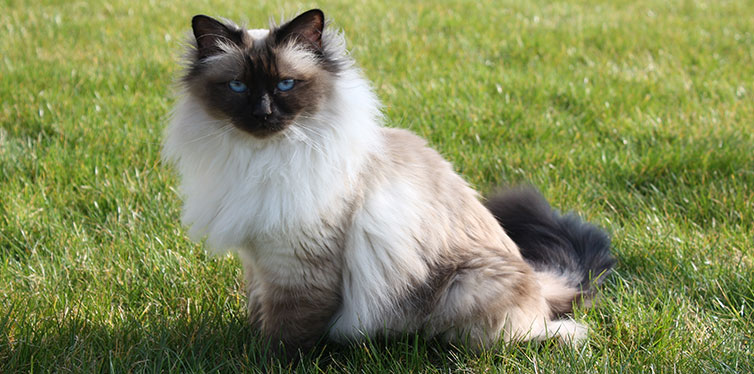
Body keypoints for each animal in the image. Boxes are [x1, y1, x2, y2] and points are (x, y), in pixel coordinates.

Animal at [163, 8, 612, 354]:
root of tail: (537, 279)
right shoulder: (259, 260)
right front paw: (247, 340)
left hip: (466, 286)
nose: (262, 114)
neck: (260, 160)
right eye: (237, 86)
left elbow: (286, 334)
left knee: (550, 332)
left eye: (285, 84)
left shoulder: (298, 265)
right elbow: (259, 312)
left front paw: (262, 359)